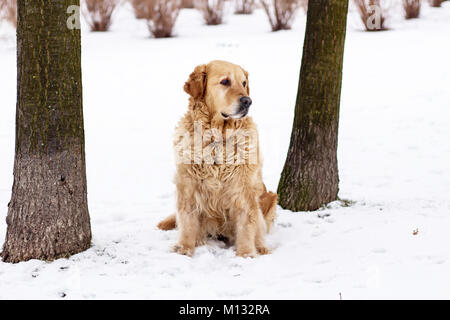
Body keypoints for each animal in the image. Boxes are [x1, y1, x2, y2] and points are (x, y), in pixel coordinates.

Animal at [157, 61, 278, 258]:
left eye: (244, 83)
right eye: (225, 81)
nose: (248, 101)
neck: (217, 137)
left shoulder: (243, 189)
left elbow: (247, 224)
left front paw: (246, 254)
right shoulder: (187, 184)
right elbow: (187, 220)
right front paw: (184, 249)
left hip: (268, 196)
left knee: (260, 228)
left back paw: (261, 248)